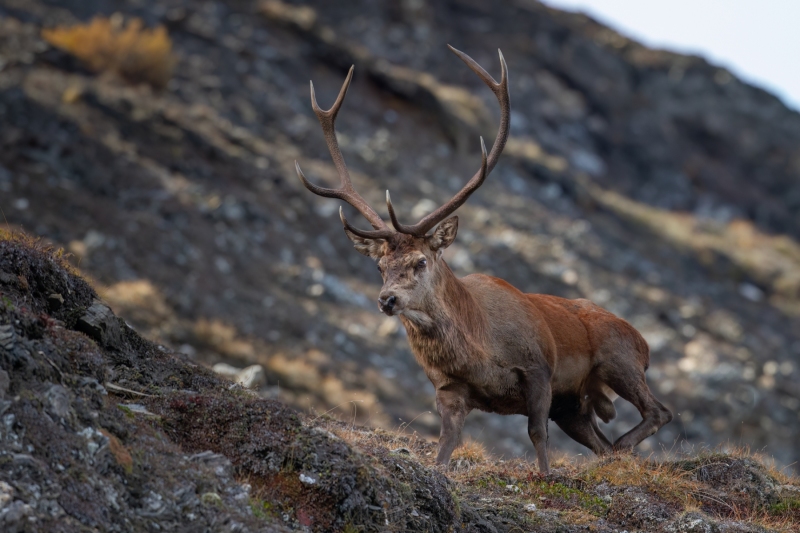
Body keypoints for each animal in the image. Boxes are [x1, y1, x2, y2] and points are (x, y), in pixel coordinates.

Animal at [294, 46, 673, 474]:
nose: (386, 299)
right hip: (574, 404)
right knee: (602, 441)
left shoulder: (539, 368)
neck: (479, 348)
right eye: (379, 267)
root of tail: (643, 341)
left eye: (421, 261)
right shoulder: (448, 387)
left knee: (658, 411)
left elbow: (536, 434)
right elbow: (447, 442)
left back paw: (625, 446)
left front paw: (545, 476)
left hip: (618, 359)